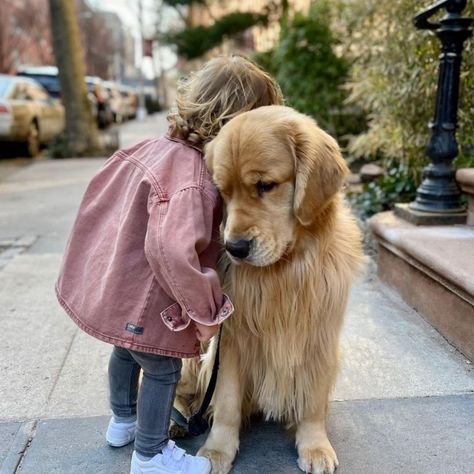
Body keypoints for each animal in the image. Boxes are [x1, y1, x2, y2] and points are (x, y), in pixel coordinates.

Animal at [176, 105, 364, 472]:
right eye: (223, 191)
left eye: (265, 185)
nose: (235, 248)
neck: (282, 272)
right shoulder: (231, 342)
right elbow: (227, 402)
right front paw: (218, 449)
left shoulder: (320, 338)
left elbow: (312, 401)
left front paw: (314, 445)